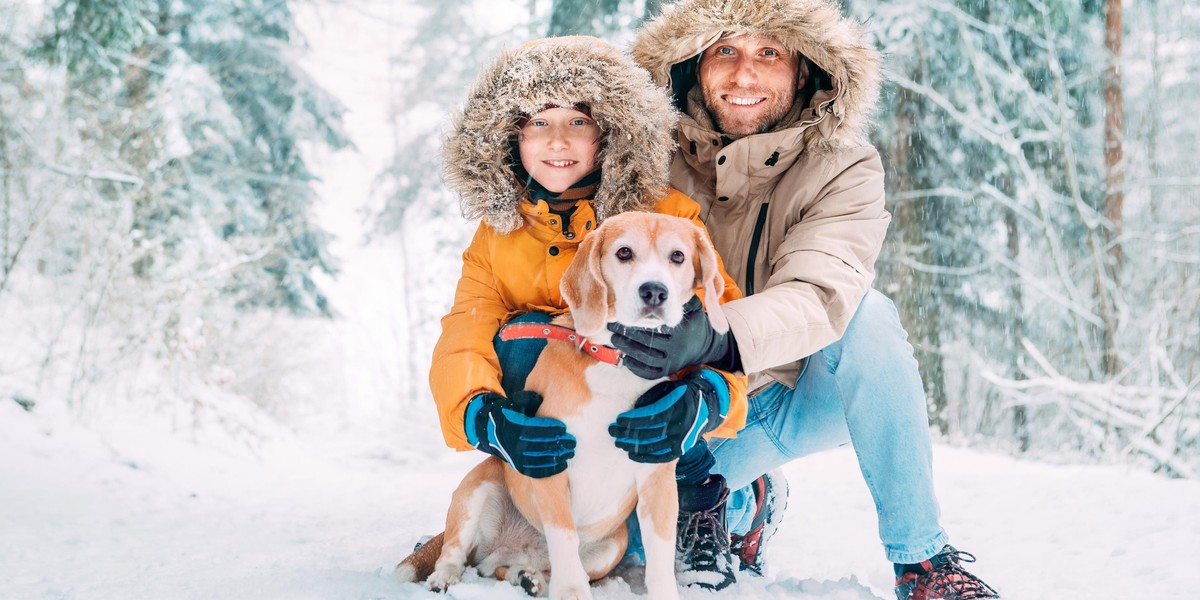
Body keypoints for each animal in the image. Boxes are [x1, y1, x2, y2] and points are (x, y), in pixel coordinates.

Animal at [398, 213, 724, 597]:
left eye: (678, 256)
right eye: (624, 252)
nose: (655, 291)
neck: (615, 361)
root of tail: (511, 548)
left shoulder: (657, 477)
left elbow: (659, 552)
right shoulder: (551, 465)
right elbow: (564, 537)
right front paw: (572, 593)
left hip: (612, 545)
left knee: (512, 569)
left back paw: (529, 578)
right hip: (477, 489)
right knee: (454, 551)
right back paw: (445, 578)